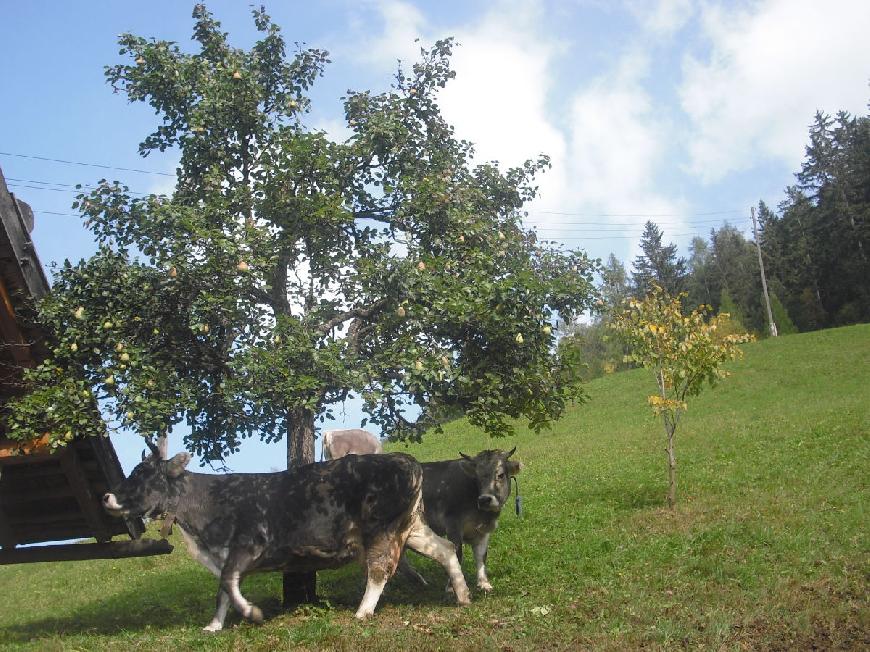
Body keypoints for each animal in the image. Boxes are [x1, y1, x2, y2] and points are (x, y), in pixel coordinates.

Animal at [104, 440, 474, 628]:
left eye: (142, 474)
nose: (107, 496)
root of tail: (405, 460)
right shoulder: (224, 554)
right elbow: (222, 589)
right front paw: (214, 626)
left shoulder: (247, 545)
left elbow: (227, 582)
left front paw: (251, 613)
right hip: (410, 526)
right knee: (444, 548)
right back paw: (463, 595)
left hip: (381, 529)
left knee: (380, 570)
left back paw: (363, 611)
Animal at [398, 446, 520, 592]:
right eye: (477, 477)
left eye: (500, 475)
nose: (484, 499)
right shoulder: (453, 524)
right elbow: (457, 553)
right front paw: (452, 586)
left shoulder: (483, 531)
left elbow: (481, 556)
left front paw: (484, 583)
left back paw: (418, 581)